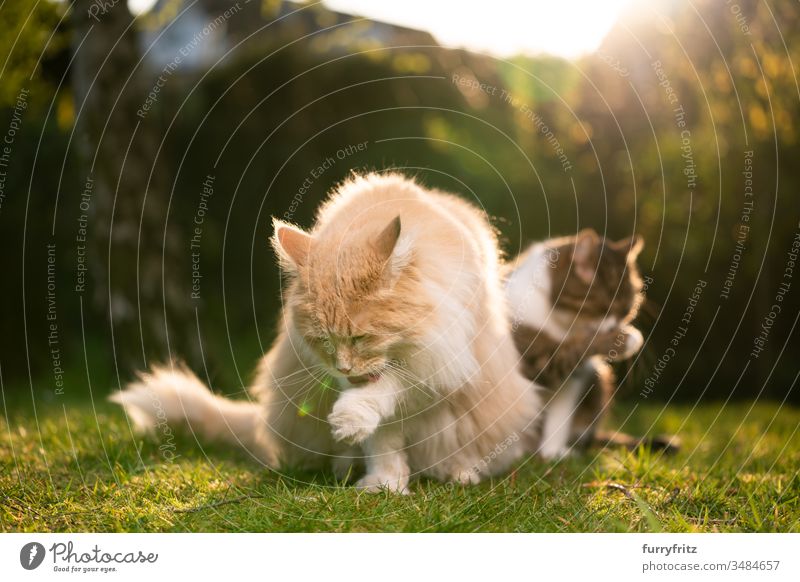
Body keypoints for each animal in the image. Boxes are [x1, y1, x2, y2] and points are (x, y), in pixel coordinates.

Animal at [109, 172, 540, 492]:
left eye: (361, 337)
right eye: (325, 341)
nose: (345, 368)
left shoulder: (442, 363)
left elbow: (389, 389)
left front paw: (352, 421)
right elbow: (381, 439)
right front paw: (383, 483)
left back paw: (459, 473)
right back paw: (345, 469)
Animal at [506, 228, 644, 460]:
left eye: (626, 311)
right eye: (606, 308)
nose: (615, 328)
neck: (561, 324)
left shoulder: (575, 376)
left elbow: (560, 417)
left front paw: (553, 453)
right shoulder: (534, 359)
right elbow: (572, 350)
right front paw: (629, 339)